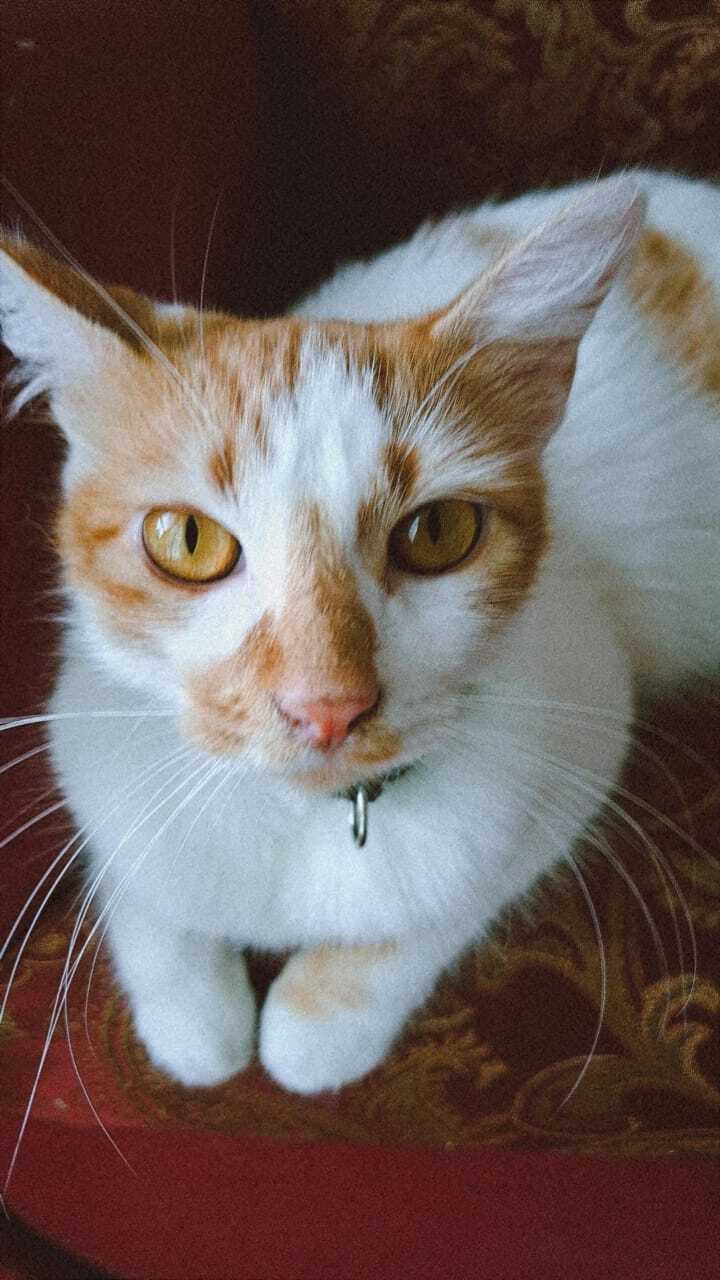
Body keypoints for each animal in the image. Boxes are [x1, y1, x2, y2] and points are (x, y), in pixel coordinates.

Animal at [0, 170, 718, 1096]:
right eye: (187, 540)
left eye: (438, 532)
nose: (326, 706)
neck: (296, 821)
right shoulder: (91, 728)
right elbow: (141, 884)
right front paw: (197, 1024)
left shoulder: (585, 718)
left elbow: (438, 913)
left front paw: (313, 1028)